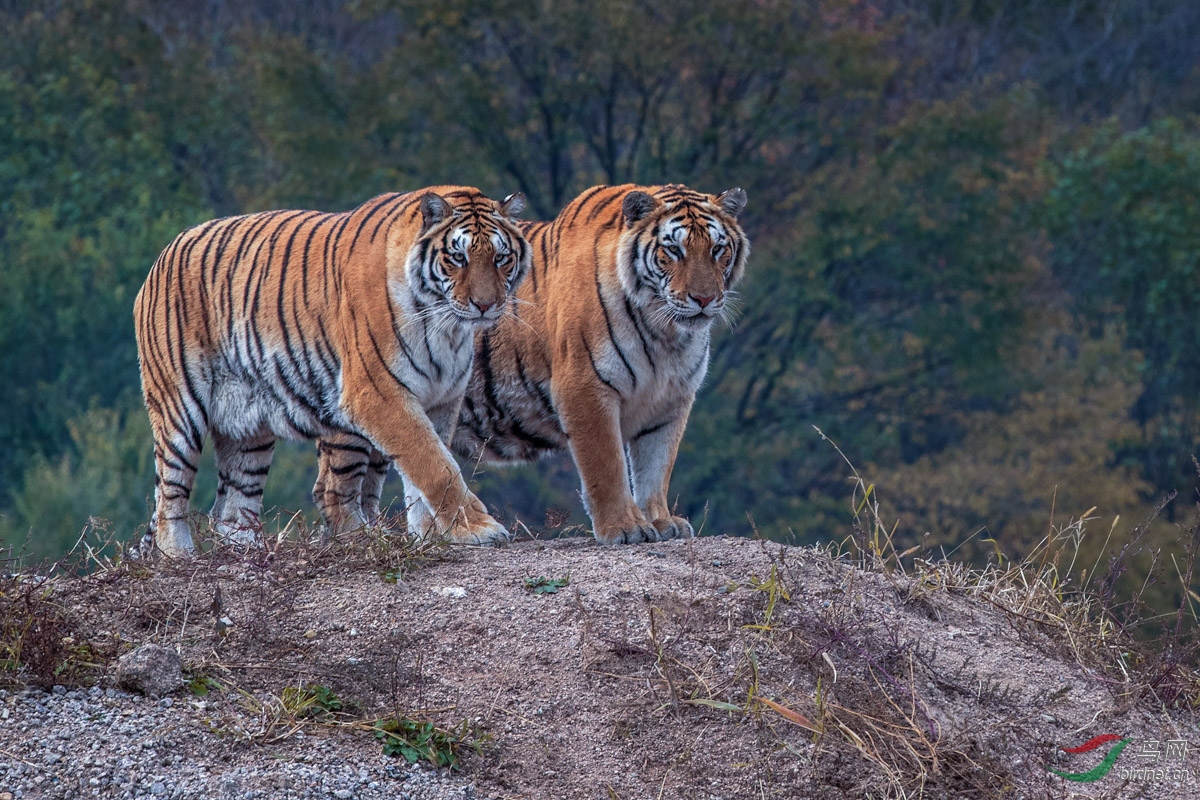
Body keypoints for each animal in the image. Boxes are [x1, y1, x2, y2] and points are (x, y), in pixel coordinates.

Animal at [133, 186, 530, 557]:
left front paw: (433, 535)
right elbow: (434, 466)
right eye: (458, 258)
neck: (446, 327)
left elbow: (426, 470)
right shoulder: (379, 392)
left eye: (501, 258)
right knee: (170, 495)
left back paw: (250, 553)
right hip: (180, 409)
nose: (485, 305)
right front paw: (475, 529)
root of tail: (160, 258)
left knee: (231, 507)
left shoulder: (442, 400)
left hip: (248, 427)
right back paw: (181, 555)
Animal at [313, 184, 749, 545]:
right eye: (674, 250)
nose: (704, 299)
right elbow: (606, 466)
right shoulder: (584, 387)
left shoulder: (672, 398)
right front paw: (624, 528)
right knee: (333, 487)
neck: (667, 334)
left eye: (717, 249)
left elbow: (656, 467)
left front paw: (660, 521)